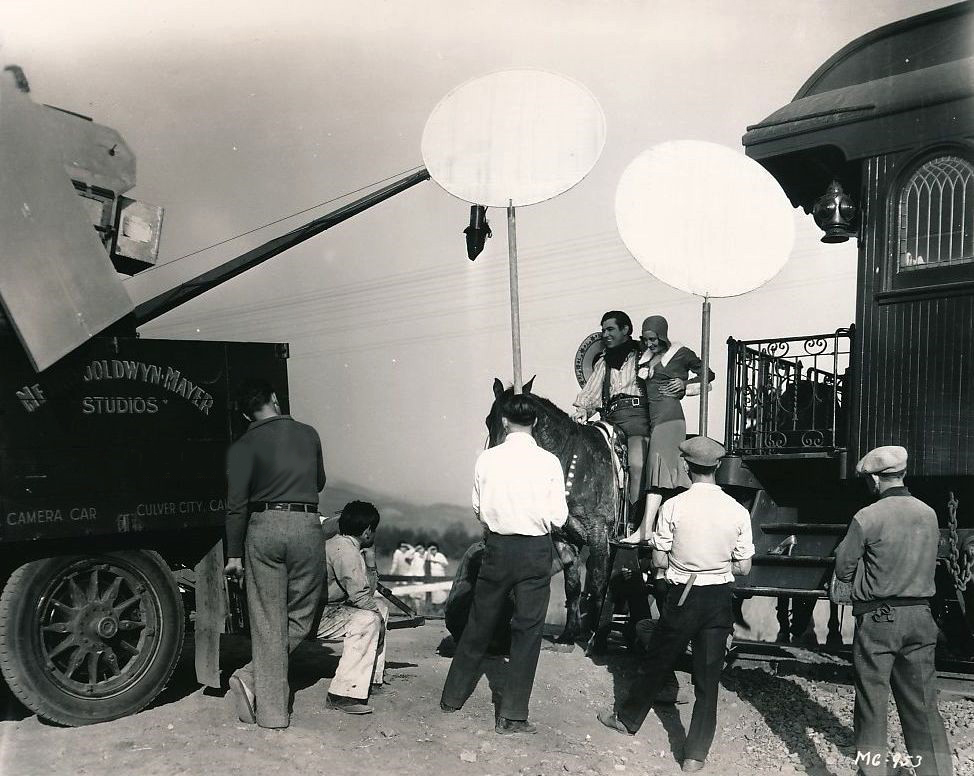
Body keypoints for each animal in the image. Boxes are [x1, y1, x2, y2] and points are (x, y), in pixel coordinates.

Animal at [488, 376, 616, 648]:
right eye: (487, 420)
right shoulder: (563, 537)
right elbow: (573, 585)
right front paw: (569, 634)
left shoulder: (599, 534)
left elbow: (599, 583)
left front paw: (595, 638)